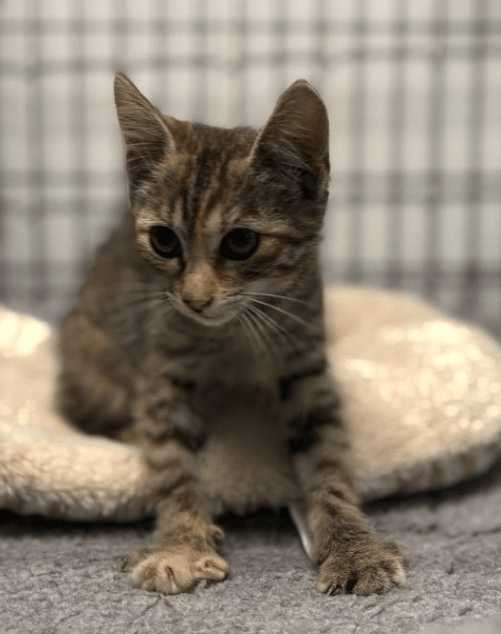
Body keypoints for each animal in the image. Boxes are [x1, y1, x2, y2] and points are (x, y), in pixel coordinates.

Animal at [58, 74, 404, 592]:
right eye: (164, 240)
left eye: (242, 242)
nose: (194, 300)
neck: (234, 335)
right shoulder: (160, 373)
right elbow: (170, 464)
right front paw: (181, 546)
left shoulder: (306, 366)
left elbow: (329, 459)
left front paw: (353, 547)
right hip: (92, 353)